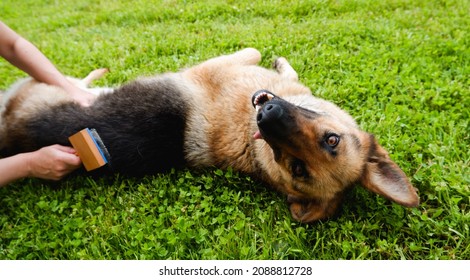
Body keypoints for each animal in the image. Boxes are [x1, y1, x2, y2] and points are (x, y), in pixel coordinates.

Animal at [0, 48, 418, 223]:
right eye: (332, 140)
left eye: (297, 168)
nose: (265, 115)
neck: (250, 142)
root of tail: (12, 137)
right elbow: (278, 65)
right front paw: (284, 67)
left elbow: (256, 52)